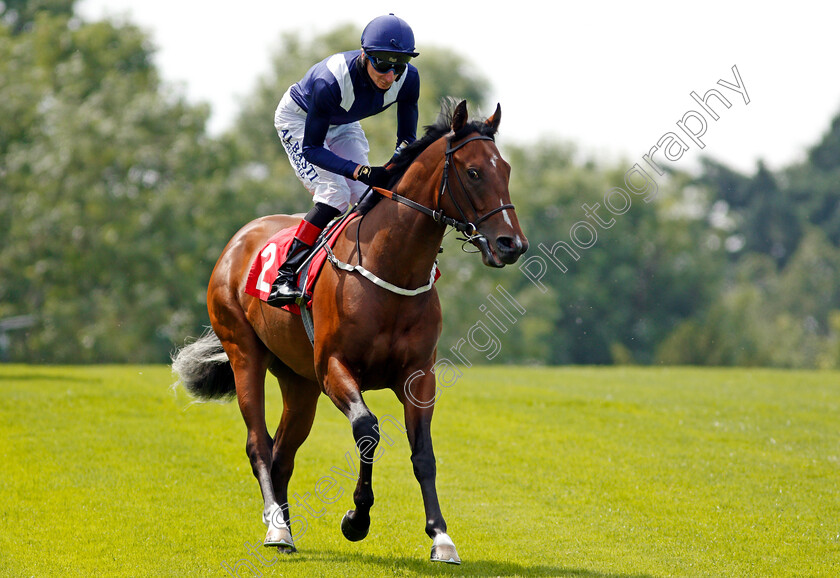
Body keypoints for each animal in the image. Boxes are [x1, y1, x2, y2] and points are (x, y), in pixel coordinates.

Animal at [170, 100, 524, 564]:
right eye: (474, 172)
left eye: (507, 169)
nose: (511, 244)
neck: (390, 267)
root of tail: (238, 240)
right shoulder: (334, 368)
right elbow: (367, 429)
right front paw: (357, 519)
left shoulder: (418, 376)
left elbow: (423, 452)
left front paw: (441, 536)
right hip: (245, 352)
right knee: (258, 444)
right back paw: (276, 528)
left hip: (299, 382)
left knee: (283, 452)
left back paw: (286, 526)